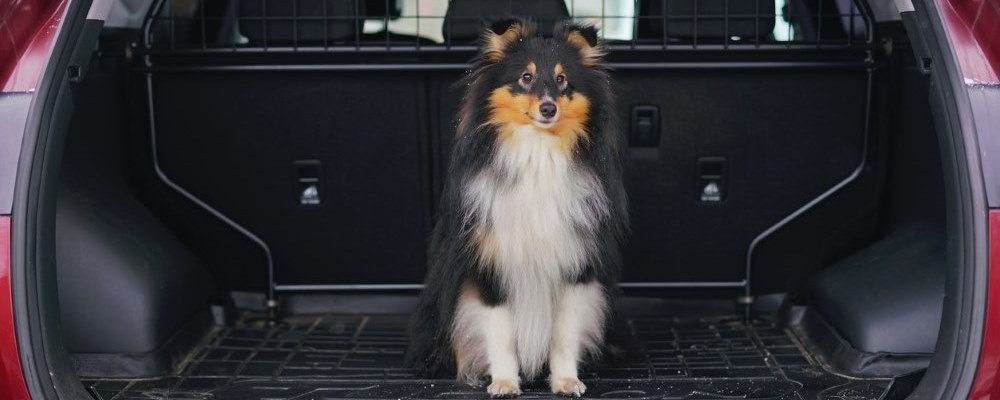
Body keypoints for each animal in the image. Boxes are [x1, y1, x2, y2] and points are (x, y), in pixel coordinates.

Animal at [404, 18, 624, 396]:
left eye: (562, 79)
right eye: (526, 77)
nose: (548, 108)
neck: (538, 152)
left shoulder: (575, 264)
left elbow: (565, 333)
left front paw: (566, 381)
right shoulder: (489, 264)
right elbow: (500, 331)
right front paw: (504, 383)